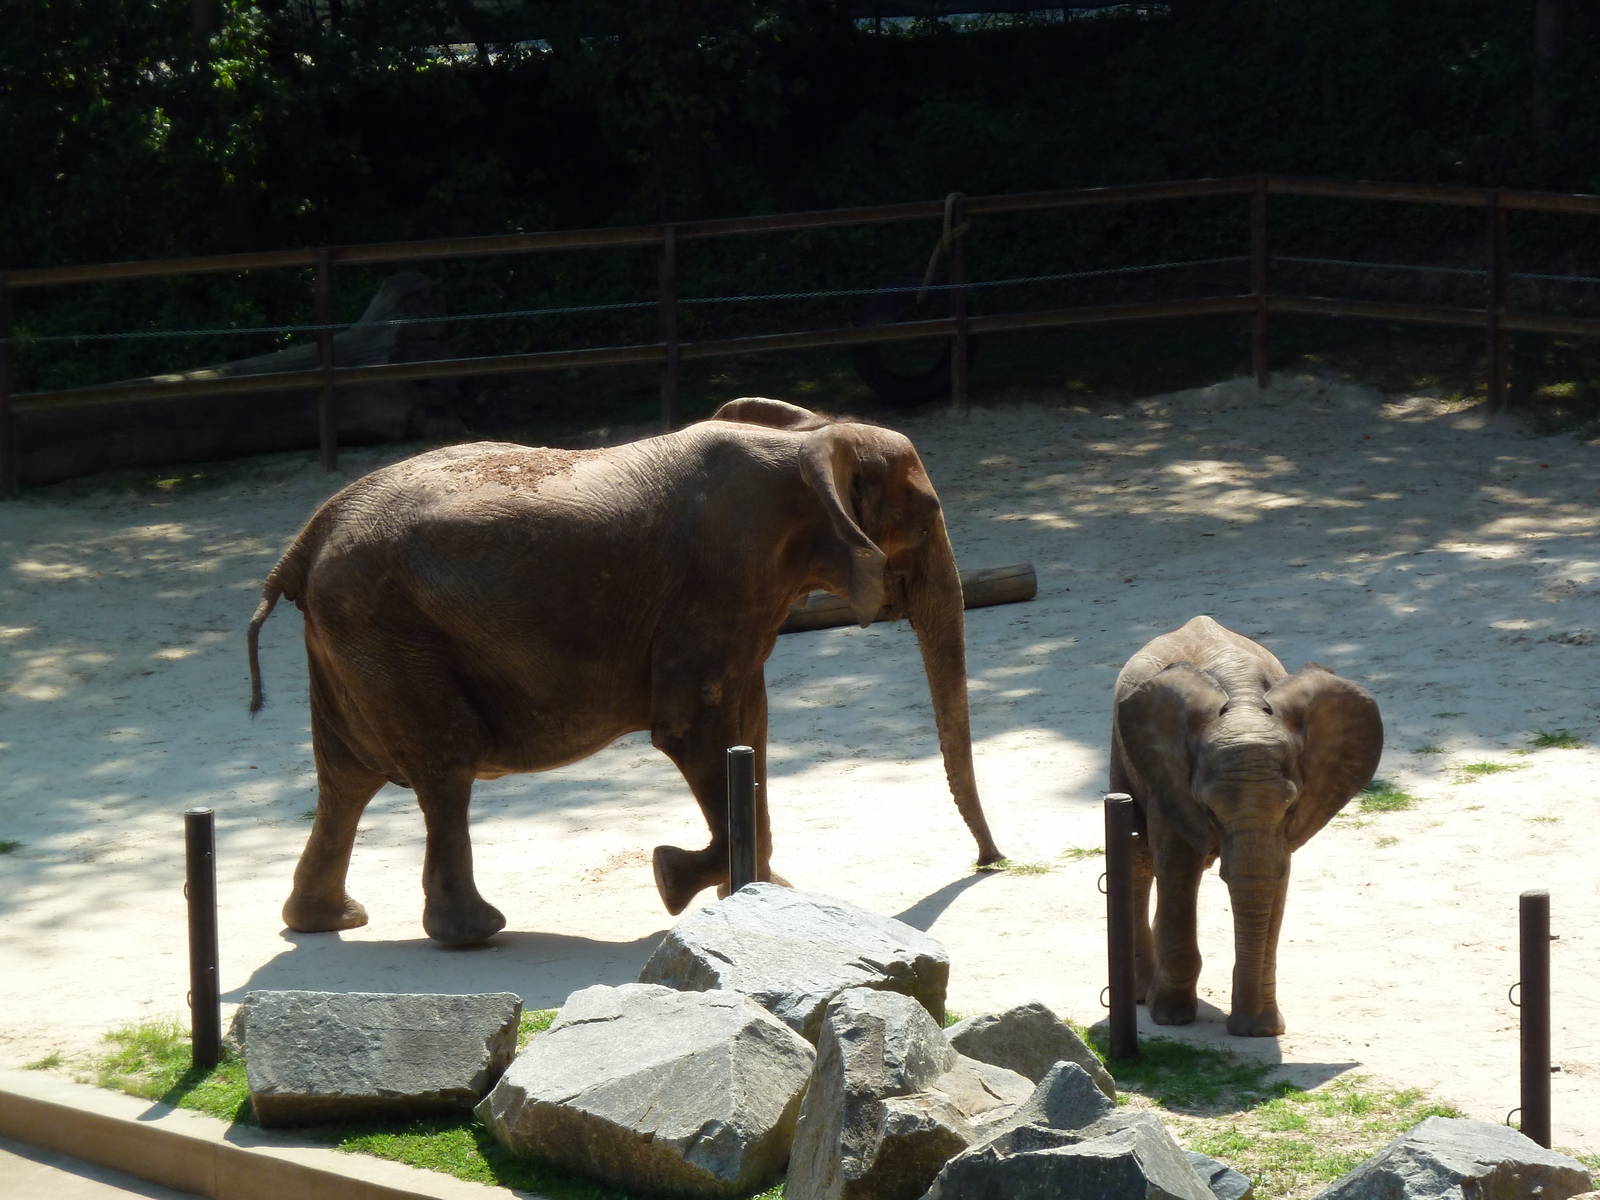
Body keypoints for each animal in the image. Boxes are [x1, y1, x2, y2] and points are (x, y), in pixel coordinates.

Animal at [247, 396, 1003, 946]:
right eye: (927, 517)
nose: (991, 862)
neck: (812, 439)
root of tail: (304, 541)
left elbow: (749, 730)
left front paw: (762, 895)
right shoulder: (717, 583)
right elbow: (692, 731)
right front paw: (680, 879)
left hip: (355, 639)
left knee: (347, 779)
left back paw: (330, 920)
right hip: (390, 633)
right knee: (444, 765)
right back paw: (473, 933)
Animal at [1109, 615, 1382, 1036]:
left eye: (1290, 807)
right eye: (1209, 809)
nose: (1247, 1028)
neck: (1243, 704)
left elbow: (1276, 878)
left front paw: (1262, 1030)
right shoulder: (1168, 775)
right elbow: (1177, 866)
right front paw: (1170, 1018)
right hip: (1121, 750)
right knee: (1139, 854)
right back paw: (1142, 996)